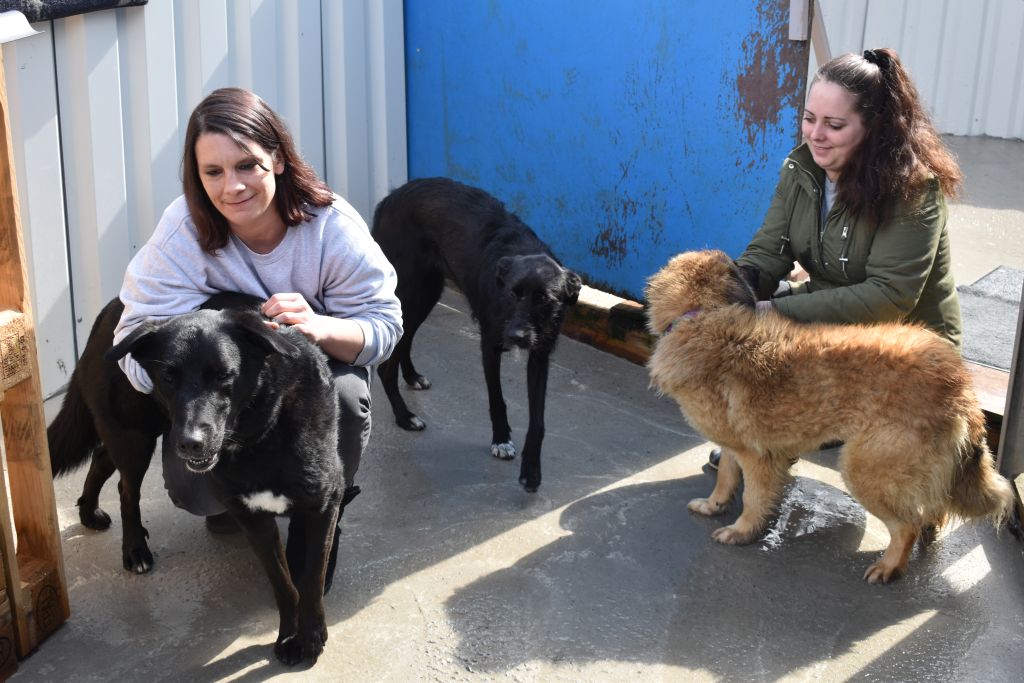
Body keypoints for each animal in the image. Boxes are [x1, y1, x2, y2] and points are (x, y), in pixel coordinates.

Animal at [48, 294, 352, 667]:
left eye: (224, 375)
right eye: (168, 376)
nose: (190, 443)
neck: (260, 430)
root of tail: (109, 308)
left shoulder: (322, 506)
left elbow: (310, 578)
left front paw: (309, 639)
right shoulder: (252, 519)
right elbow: (282, 583)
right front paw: (290, 635)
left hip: (133, 433)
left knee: (102, 458)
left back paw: (89, 512)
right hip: (133, 436)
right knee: (125, 488)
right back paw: (134, 548)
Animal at [370, 179, 581, 493]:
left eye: (544, 299)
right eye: (512, 293)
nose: (516, 336)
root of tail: (390, 198)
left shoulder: (540, 354)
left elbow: (538, 420)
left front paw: (531, 471)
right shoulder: (490, 345)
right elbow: (497, 399)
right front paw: (501, 440)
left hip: (427, 291)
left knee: (405, 340)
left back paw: (412, 376)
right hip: (407, 291)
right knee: (386, 364)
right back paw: (405, 417)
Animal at [647, 249, 1015, 581]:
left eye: (735, 265)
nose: (754, 268)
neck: (702, 316)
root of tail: (959, 382)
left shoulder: (757, 457)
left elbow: (752, 499)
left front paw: (741, 531)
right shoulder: (734, 446)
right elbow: (725, 477)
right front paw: (714, 506)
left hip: (864, 468)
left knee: (906, 525)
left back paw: (890, 566)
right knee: (933, 505)